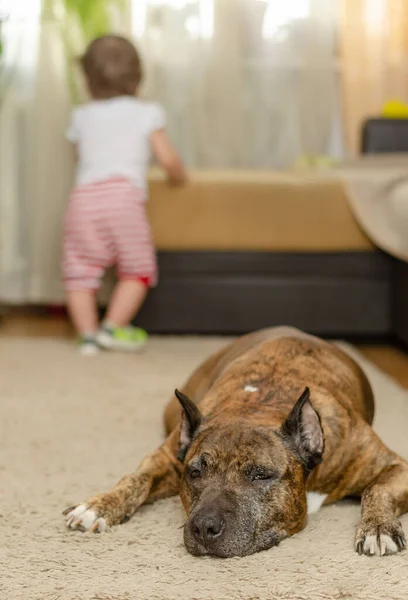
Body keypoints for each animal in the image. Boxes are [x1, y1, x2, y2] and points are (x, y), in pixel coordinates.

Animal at [63, 328, 408, 556]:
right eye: (195, 473)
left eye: (261, 475)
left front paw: (378, 527)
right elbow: (137, 478)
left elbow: (377, 489)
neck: (261, 408)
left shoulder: (392, 465)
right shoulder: (167, 457)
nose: (204, 527)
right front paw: (98, 506)